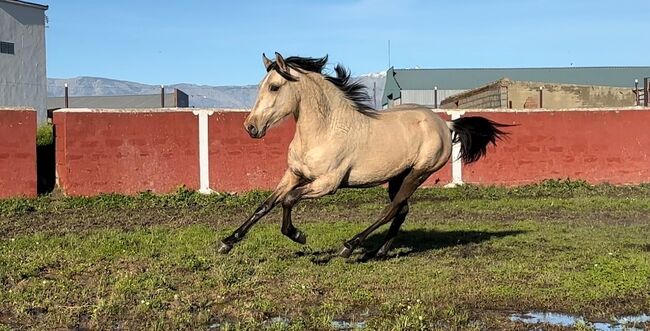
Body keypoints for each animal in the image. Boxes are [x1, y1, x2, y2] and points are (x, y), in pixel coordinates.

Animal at [216, 52, 506, 260]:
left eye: (275, 87)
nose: (251, 127)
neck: (325, 130)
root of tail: (445, 124)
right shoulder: (294, 174)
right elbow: (266, 204)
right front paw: (227, 242)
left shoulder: (327, 184)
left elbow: (288, 200)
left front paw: (298, 234)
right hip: (398, 176)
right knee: (402, 210)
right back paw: (379, 252)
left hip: (418, 173)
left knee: (392, 209)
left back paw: (351, 246)